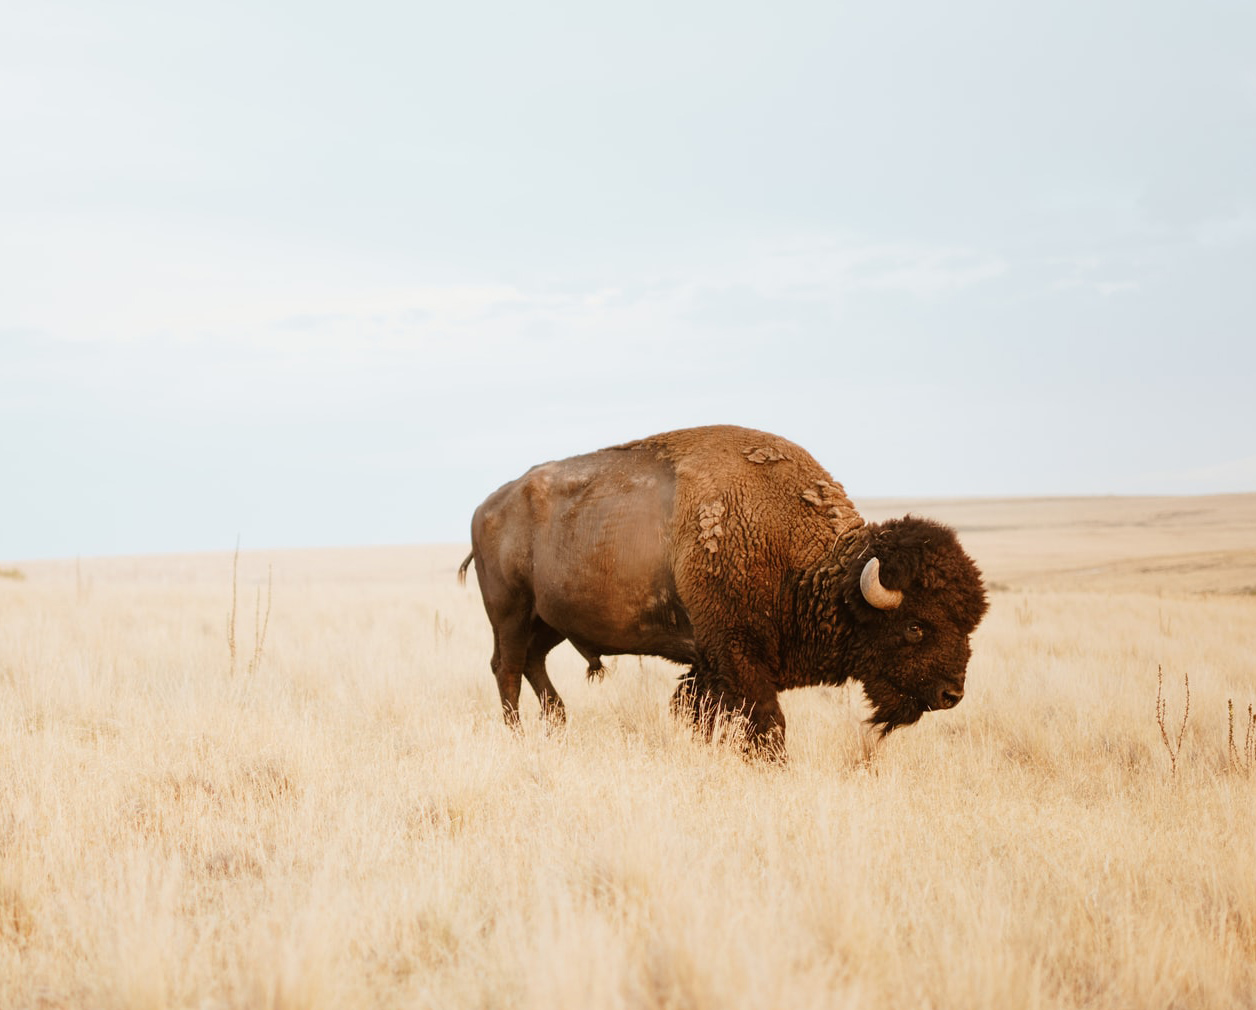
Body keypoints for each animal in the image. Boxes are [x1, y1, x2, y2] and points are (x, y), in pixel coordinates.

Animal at [458, 425, 987, 753]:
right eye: (915, 626)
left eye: (969, 625)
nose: (951, 694)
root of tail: (486, 507)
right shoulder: (737, 655)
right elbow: (766, 723)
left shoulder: (710, 665)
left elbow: (701, 713)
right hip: (510, 612)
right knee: (507, 669)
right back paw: (518, 735)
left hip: (550, 621)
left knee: (533, 664)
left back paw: (559, 724)